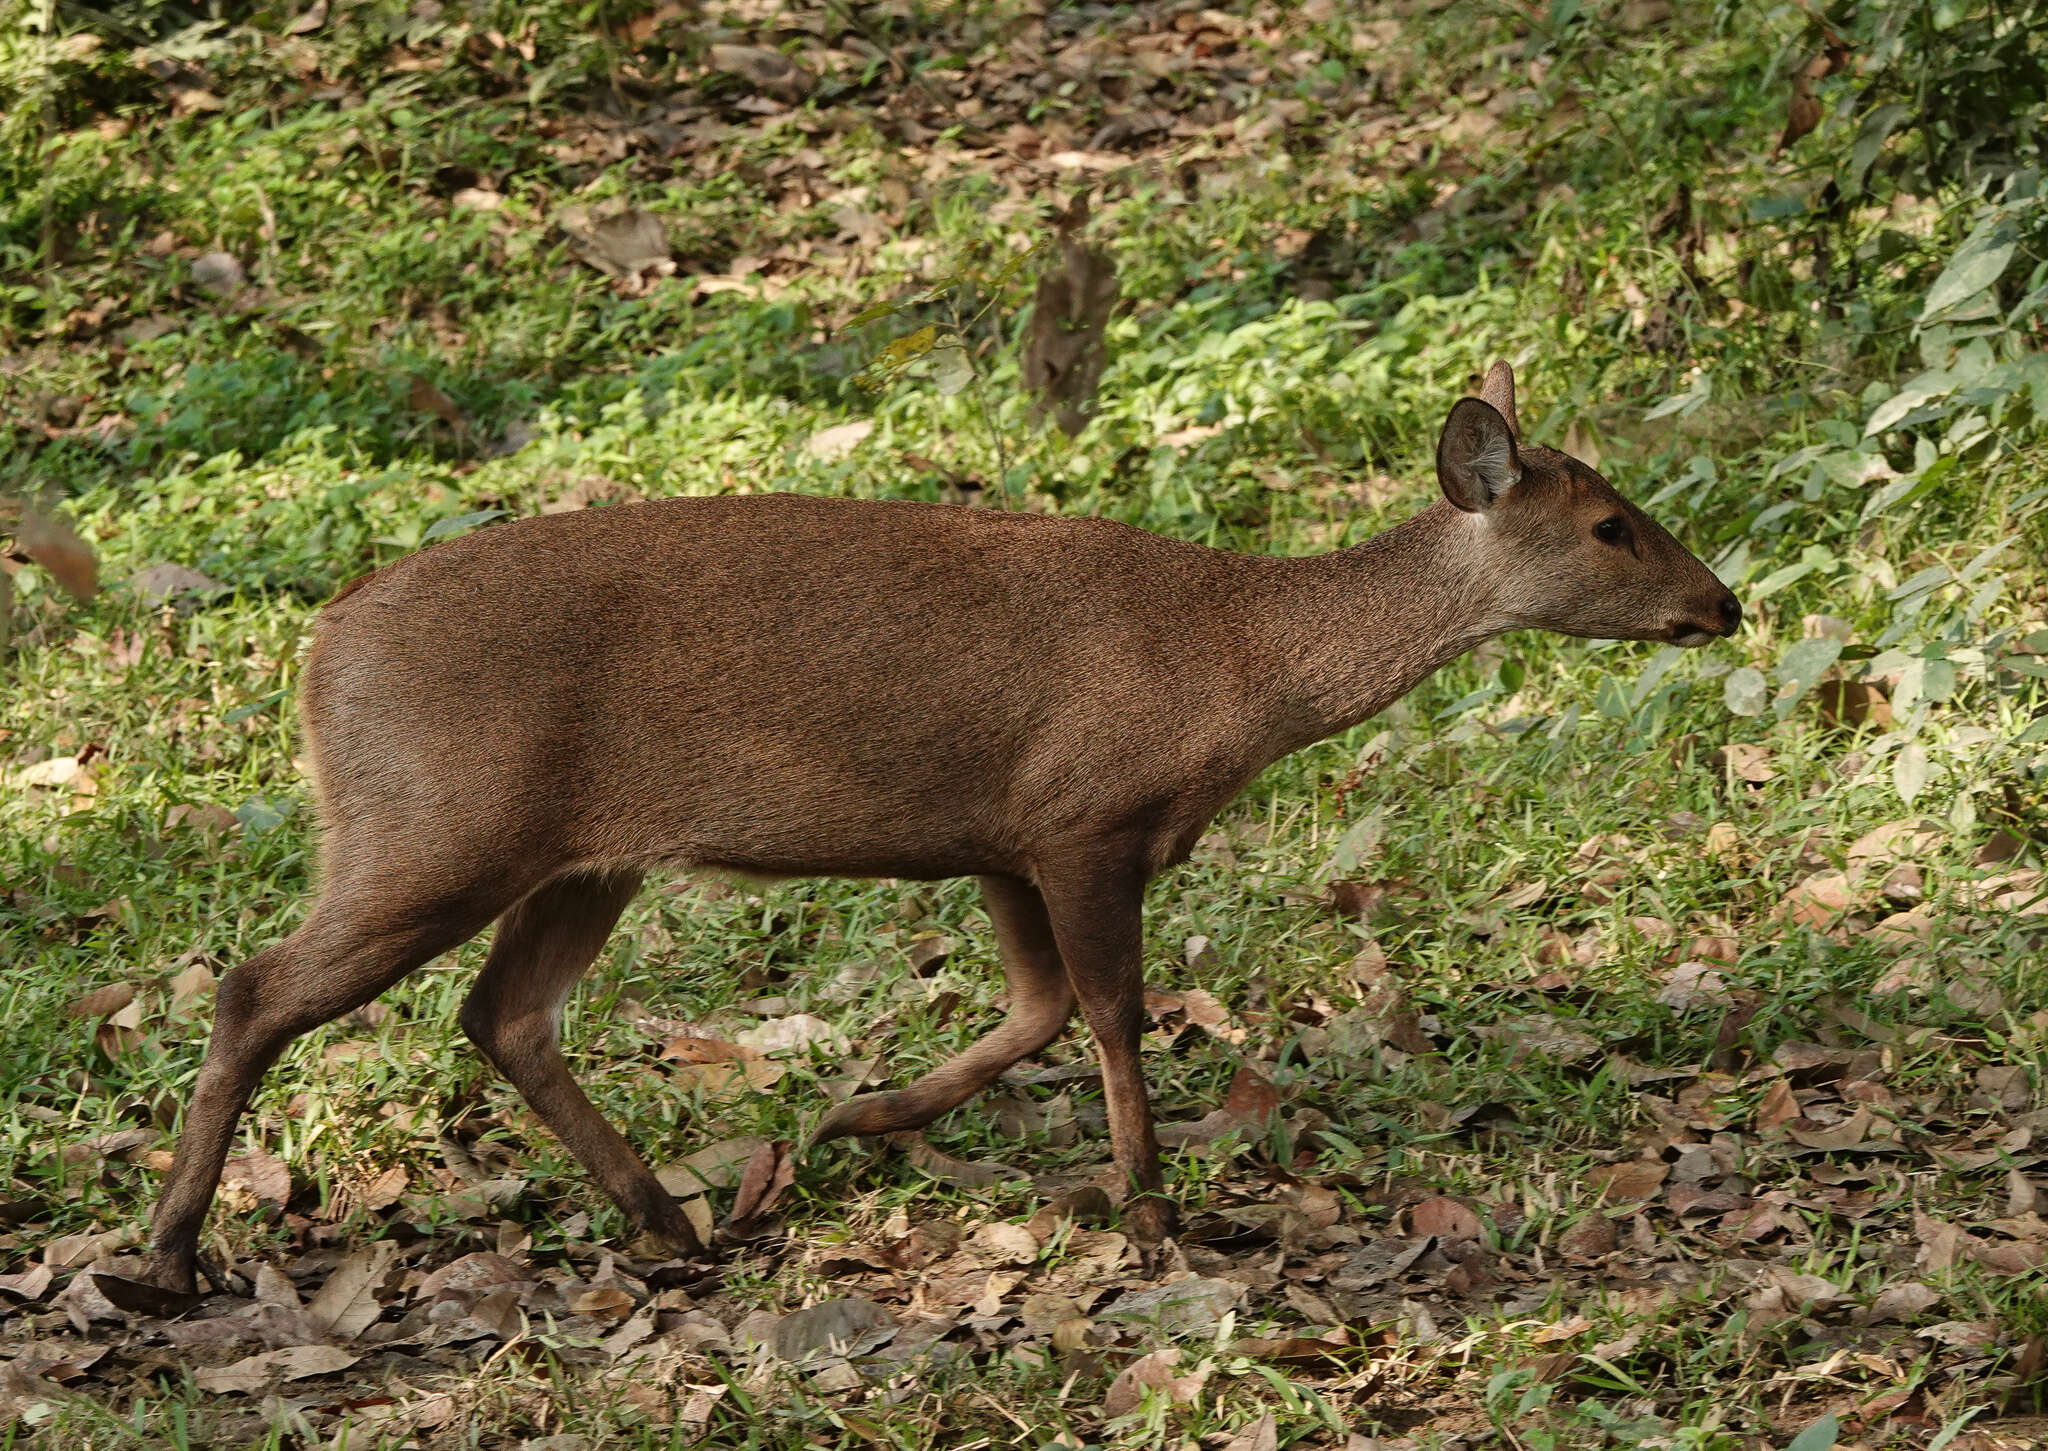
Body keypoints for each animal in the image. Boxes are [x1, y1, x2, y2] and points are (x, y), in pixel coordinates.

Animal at [128, 362, 1736, 1295]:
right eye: (1611, 526)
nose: (1721, 602)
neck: (1235, 673)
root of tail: (319, 654)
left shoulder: (1006, 835)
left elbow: (1033, 1008)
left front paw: (855, 1116)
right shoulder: (1086, 812)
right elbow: (1112, 1012)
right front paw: (1152, 1214)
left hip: (577, 854)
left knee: (502, 1013)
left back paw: (672, 1216)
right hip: (433, 820)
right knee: (257, 985)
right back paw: (165, 1252)